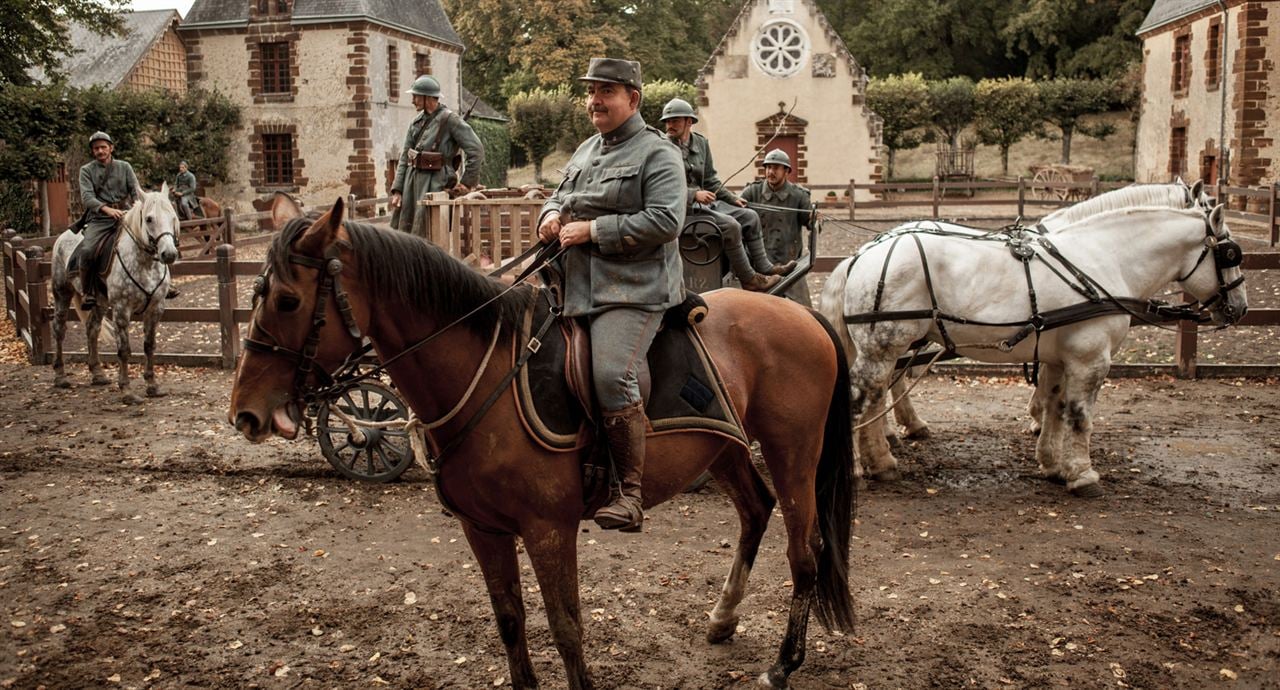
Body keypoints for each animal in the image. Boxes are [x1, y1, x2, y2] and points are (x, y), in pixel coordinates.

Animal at [50, 183, 180, 404]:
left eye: (173, 216)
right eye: (149, 219)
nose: (169, 254)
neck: (144, 263)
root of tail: (63, 236)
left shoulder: (155, 309)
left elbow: (149, 345)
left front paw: (152, 385)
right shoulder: (121, 310)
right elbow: (124, 350)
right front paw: (127, 391)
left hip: (100, 302)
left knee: (92, 328)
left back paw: (97, 373)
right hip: (62, 293)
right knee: (59, 329)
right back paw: (60, 376)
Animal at [229, 195, 855, 690]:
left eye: (287, 300)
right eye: (256, 293)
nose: (245, 413)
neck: (484, 376)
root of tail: (801, 313)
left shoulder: (548, 529)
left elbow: (566, 628)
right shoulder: (482, 529)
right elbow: (510, 622)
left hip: (794, 453)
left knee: (806, 551)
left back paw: (784, 663)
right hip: (724, 448)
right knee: (756, 511)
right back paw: (723, 618)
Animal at [819, 199, 1249, 496]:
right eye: (1230, 253)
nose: (1241, 307)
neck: (1101, 261)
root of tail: (860, 256)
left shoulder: (1060, 358)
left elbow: (1056, 407)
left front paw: (1053, 464)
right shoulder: (1091, 359)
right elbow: (1080, 416)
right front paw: (1083, 475)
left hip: (887, 348)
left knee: (874, 399)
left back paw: (883, 462)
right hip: (884, 346)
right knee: (858, 400)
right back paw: (857, 469)